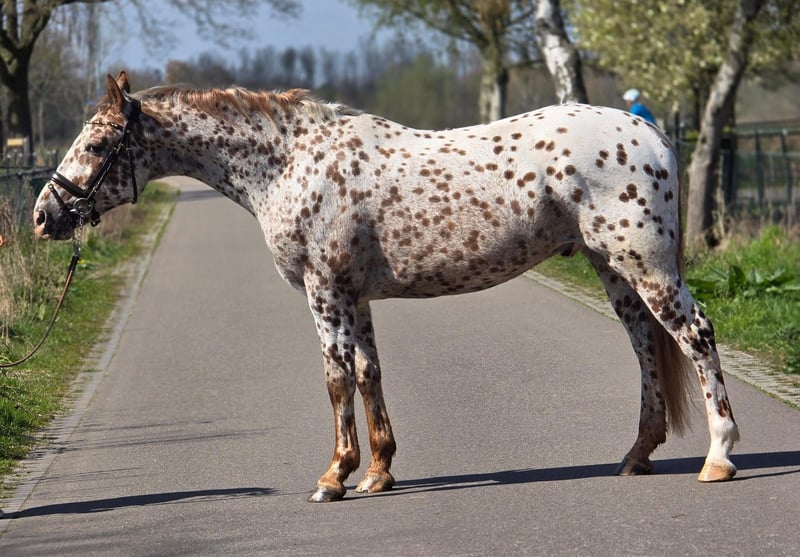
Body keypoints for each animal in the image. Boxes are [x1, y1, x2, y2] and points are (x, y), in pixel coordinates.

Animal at [33, 72, 739, 502]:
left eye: (97, 144)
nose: (45, 215)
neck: (288, 164)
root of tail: (648, 132)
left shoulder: (324, 292)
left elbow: (336, 378)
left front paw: (334, 477)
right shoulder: (356, 297)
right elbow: (370, 373)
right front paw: (378, 472)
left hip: (645, 265)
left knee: (696, 337)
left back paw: (719, 457)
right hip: (612, 268)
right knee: (646, 348)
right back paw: (637, 454)